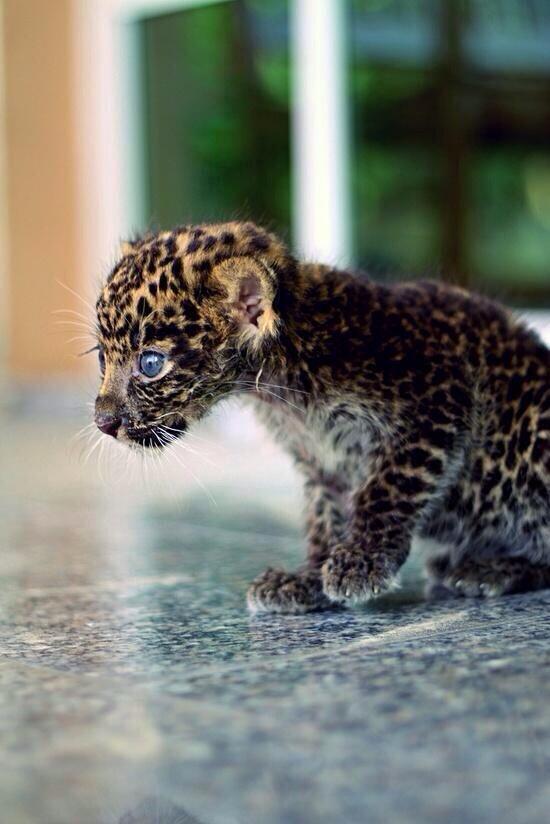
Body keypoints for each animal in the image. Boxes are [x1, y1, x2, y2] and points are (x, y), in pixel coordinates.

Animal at [93, 220, 550, 614]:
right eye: (102, 357)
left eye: (151, 364)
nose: (103, 423)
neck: (278, 383)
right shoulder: (323, 460)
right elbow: (325, 517)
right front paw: (309, 579)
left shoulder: (437, 396)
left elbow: (387, 488)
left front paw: (362, 561)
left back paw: (491, 568)